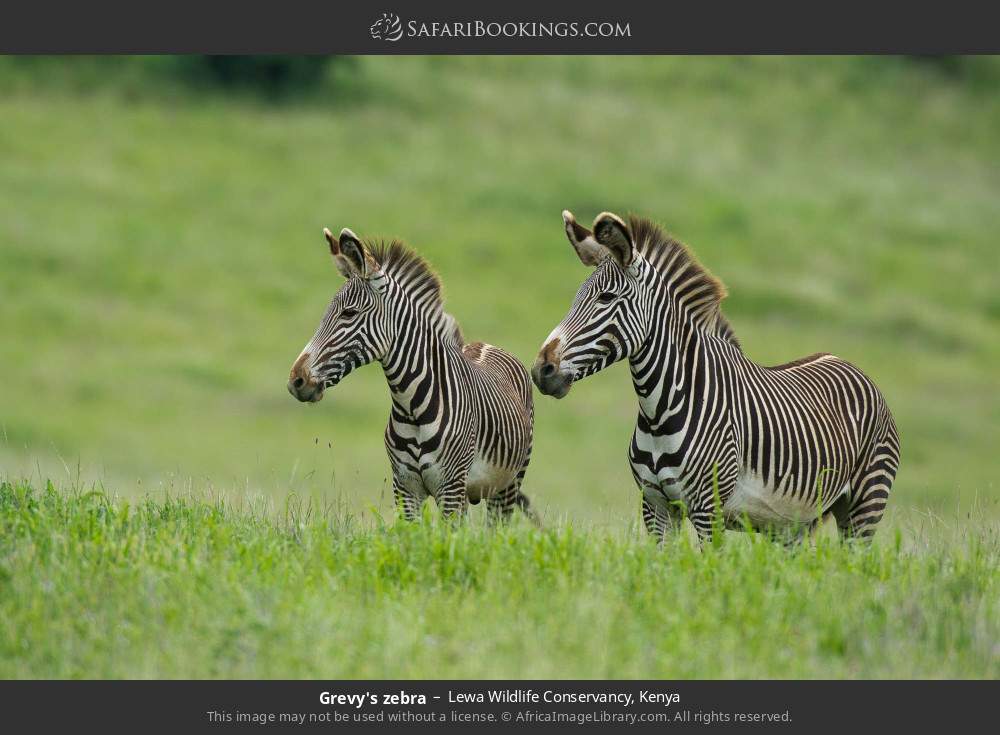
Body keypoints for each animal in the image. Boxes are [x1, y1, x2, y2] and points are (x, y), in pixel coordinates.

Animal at [288, 226, 537, 524]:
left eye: (349, 313)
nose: (296, 380)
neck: (412, 407)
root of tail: (485, 345)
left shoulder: (450, 487)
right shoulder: (405, 487)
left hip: (508, 484)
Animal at [532, 210, 900, 542]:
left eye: (606, 298)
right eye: (575, 298)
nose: (541, 369)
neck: (658, 411)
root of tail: (852, 366)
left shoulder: (710, 509)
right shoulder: (656, 506)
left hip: (864, 504)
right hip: (795, 523)